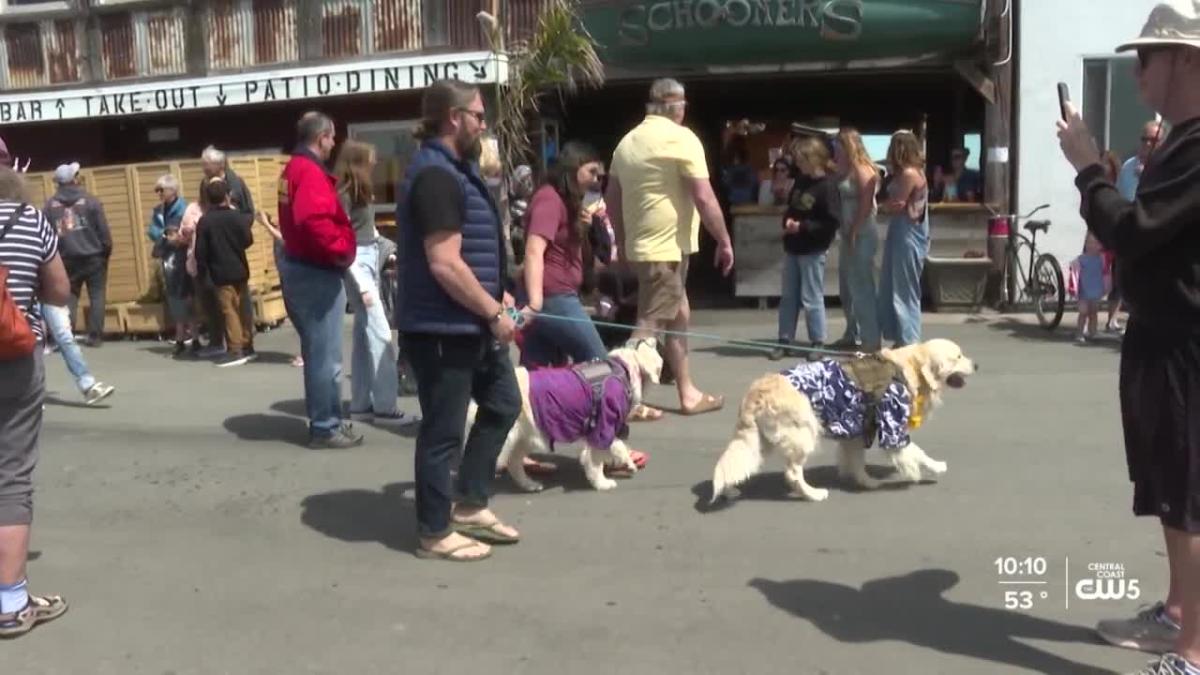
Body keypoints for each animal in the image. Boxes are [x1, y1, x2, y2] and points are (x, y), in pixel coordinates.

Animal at [472, 336, 667, 487]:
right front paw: (601, 482)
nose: (656, 338)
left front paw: (627, 461)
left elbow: (615, 446)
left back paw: (529, 484)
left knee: (514, 462)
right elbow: (598, 457)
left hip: (526, 436)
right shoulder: (603, 425)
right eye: (646, 343)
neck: (623, 370)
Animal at [710, 336, 974, 499]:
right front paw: (935, 467)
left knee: (737, 461)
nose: (977, 365)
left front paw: (866, 482)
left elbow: (856, 462)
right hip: (803, 433)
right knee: (792, 474)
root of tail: (756, 391)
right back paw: (813, 494)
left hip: (757, 441)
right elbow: (916, 452)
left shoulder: (856, 431)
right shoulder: (892, 427)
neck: (906, 368)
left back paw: (729, 491)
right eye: (958, 356)